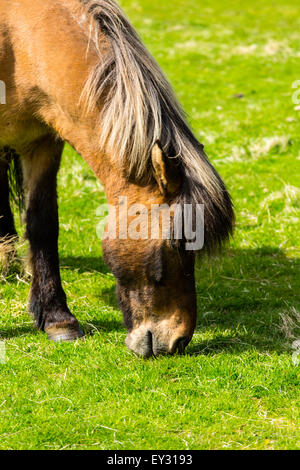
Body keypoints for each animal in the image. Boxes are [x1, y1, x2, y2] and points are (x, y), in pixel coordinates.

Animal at [0, 0, 234, 358]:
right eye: (174, 243)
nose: (177, 342)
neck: (17, 39)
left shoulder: (44, 141)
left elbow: (42, 224)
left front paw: (57, 318)